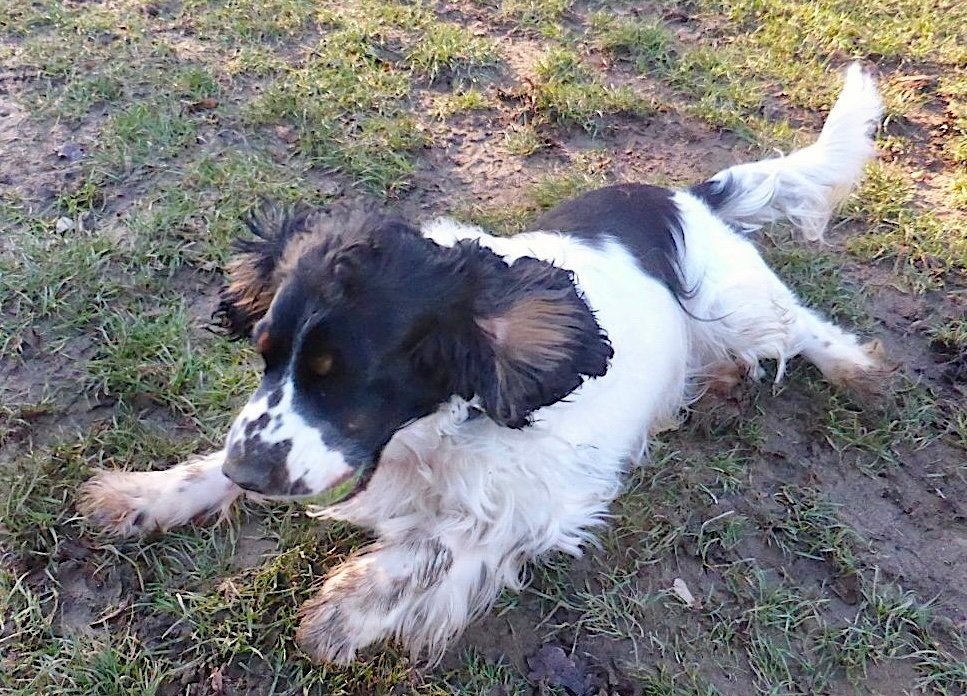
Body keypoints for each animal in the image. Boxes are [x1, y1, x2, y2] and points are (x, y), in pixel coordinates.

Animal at [79, 64, 885, 664]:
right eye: (266, 356)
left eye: (347, 376)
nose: (250, 474)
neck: (431, 436)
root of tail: (685, 198)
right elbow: (211, 464)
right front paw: (140, 495)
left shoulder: (543, 500)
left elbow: (439, 546)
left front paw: (346, 610)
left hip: (735, 303)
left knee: (799, 323)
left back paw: (854, 367)